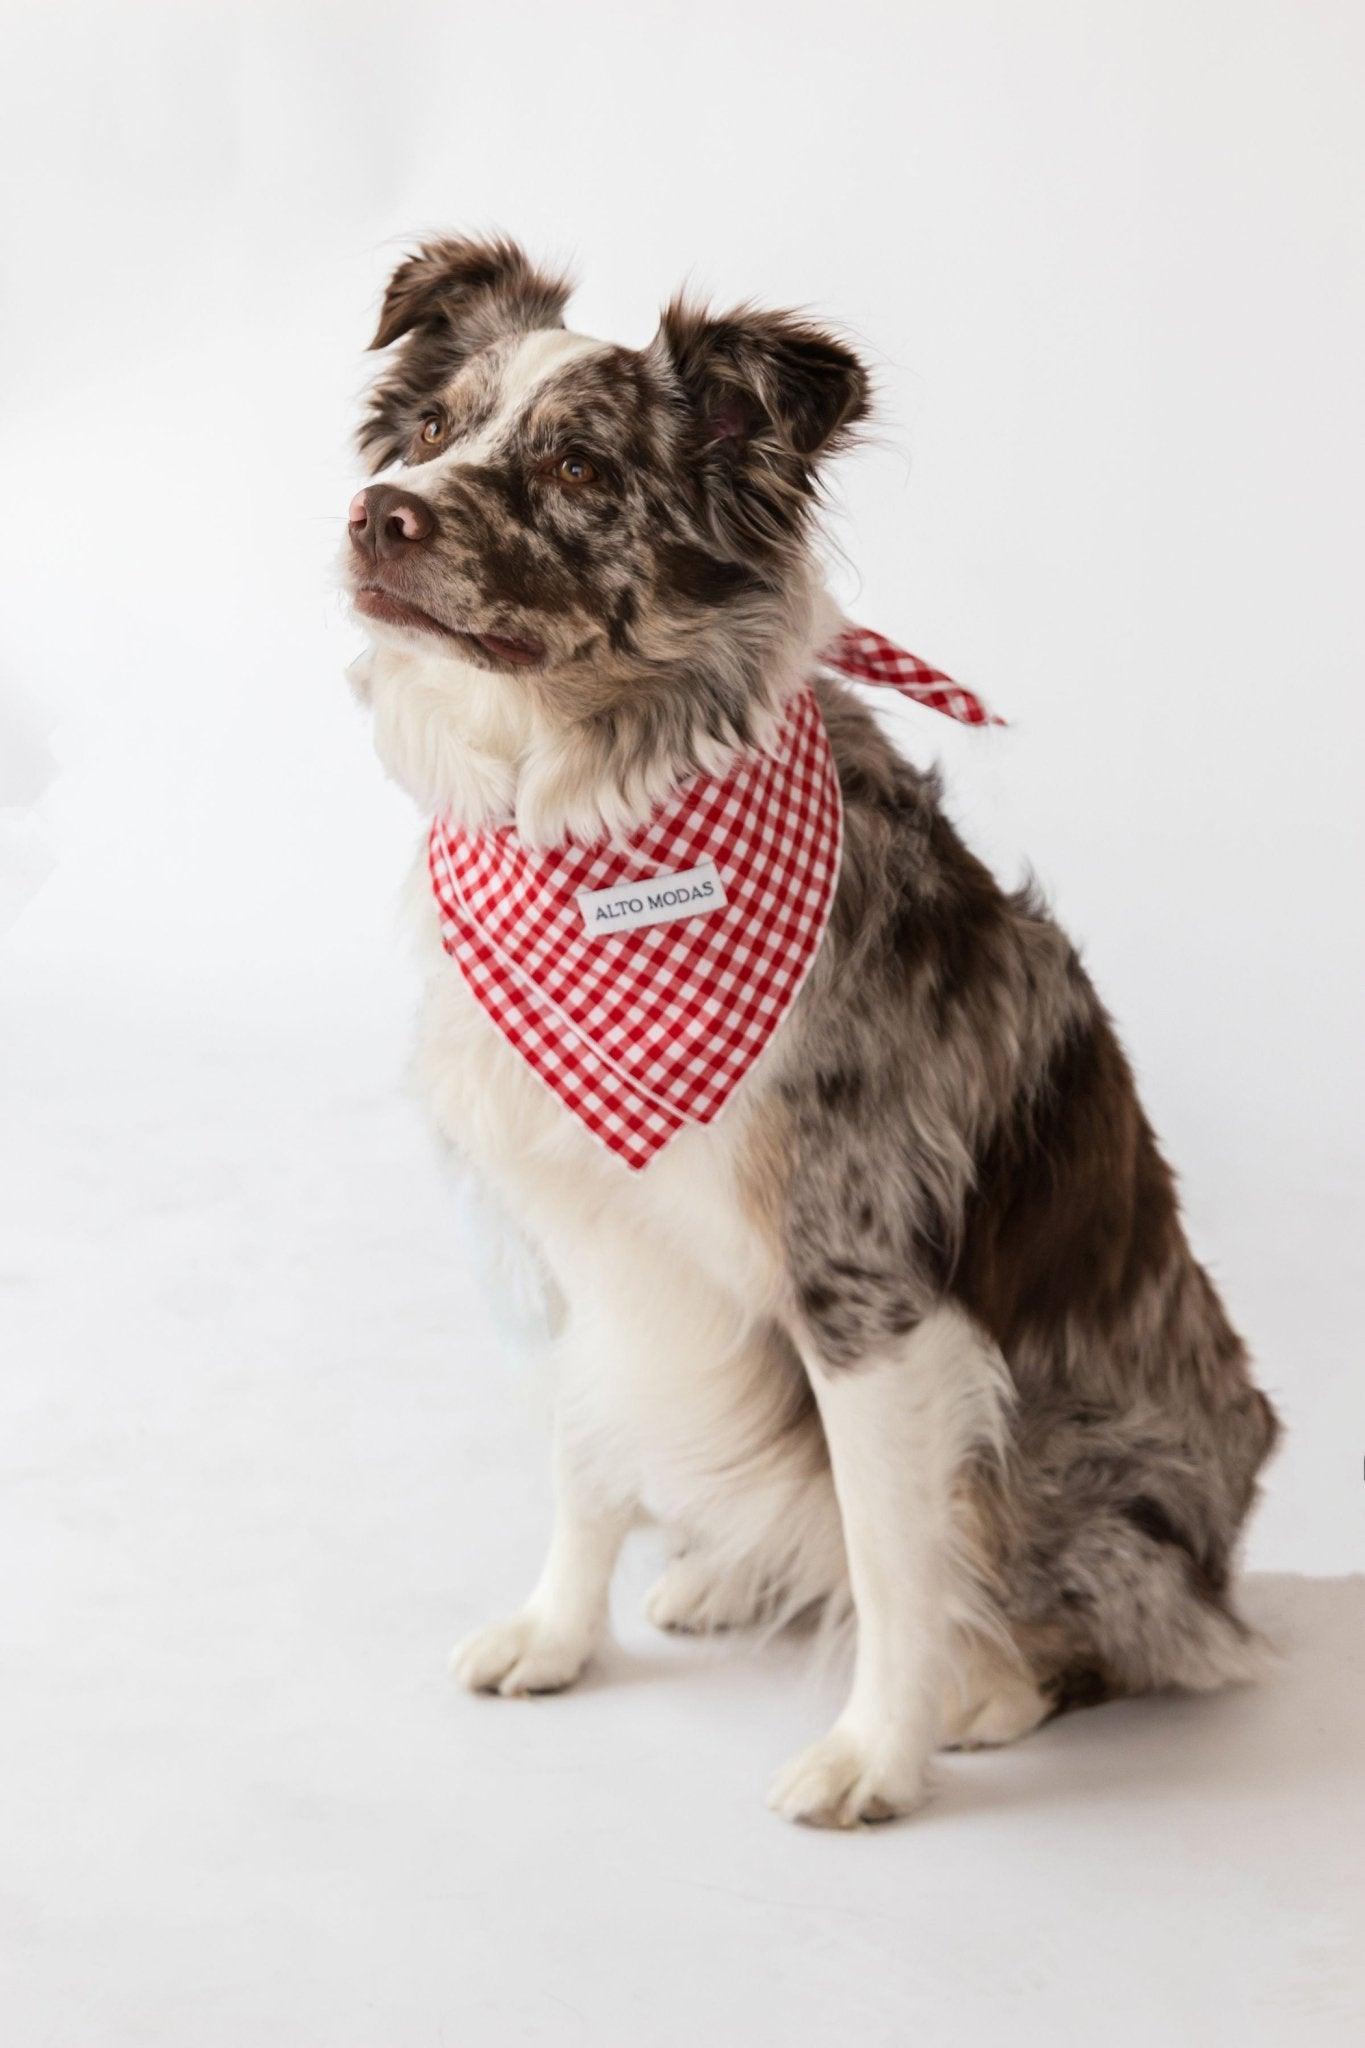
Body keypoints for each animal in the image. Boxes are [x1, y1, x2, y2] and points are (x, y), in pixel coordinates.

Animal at [343, 235, 1285, 1826]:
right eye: (430, 428)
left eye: (584, 466)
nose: (375, 515)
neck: (589, 818)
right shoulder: (581, 1233)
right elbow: (586, 1450)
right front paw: (557, 1634)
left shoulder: (862, 1283)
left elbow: (898, 1558)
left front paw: (875, 1754)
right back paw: (725, 1578)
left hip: (1094, 1458)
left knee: (1102, 1616)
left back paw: (992, 1686)